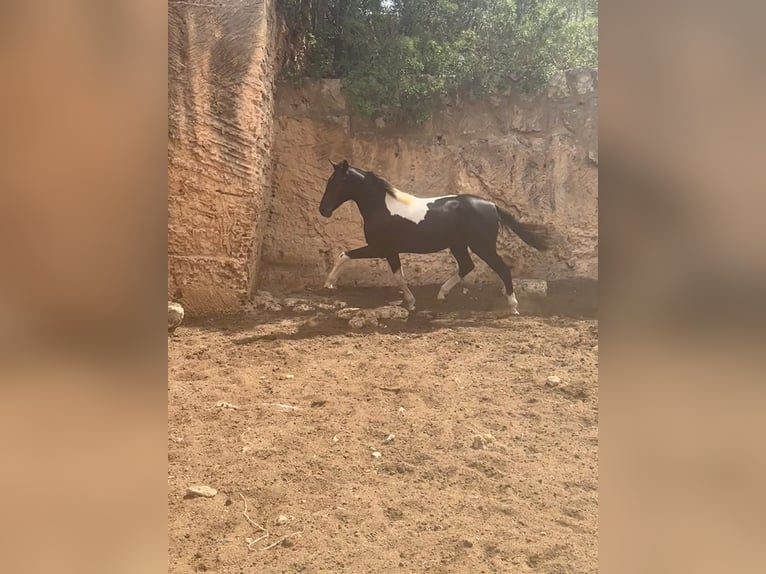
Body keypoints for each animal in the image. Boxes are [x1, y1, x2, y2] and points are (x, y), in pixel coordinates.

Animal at [318, 160, 553, 314]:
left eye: (336, 182)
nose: (323, 210)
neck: (382, 208)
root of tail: (492, 205)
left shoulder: (379, 248)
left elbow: (345, 255)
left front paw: (329, 283)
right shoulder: (390, 251)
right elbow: (399, 276)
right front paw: (411, 302)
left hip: (482, 246)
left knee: (502, 269)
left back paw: (513, 307)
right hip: (459, 245)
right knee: (467, 266)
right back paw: (441, 295)